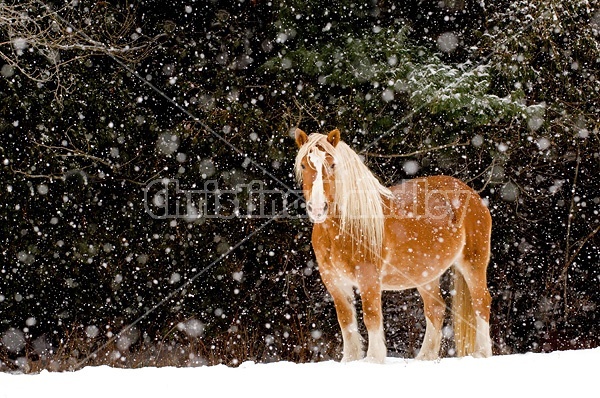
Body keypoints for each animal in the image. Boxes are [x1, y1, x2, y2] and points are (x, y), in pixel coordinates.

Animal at [296, 128, 492, 364]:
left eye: (333, 165)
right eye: (304, 165)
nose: (318, 208)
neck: (345, 227)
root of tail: (473, 195)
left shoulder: (368, 277)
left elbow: (371, 316)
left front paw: (373, 359)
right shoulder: (334, 280)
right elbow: (346, 320)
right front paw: (350, 360)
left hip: (473, 262)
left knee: (481, 302)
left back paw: (482, 353)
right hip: (426, 273)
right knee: (435, 308)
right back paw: (424, 357)